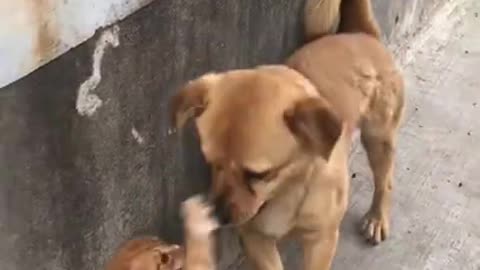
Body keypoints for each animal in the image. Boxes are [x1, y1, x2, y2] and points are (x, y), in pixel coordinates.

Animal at [171, 0, 404, 270]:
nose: (218, 215)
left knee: (384, 181)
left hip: (379, 138)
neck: (287, 188)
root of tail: (360, 32)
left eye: (259, 174)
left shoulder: (321, 240)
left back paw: (377, 217)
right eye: (211, 163)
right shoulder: (255, 238)